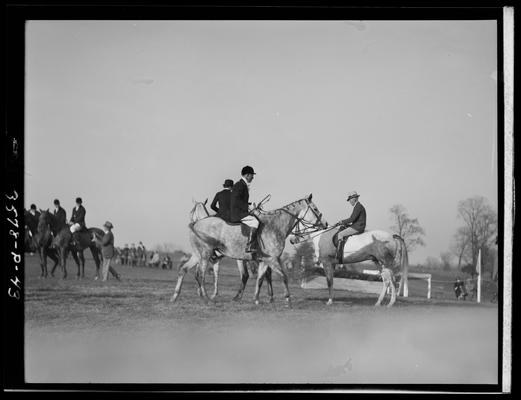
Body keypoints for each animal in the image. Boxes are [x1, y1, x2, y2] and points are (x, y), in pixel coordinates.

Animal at [171, 194, 324, 304]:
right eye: (316, 209)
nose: (324, 224)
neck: (275, 226)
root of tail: (196, 224)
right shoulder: (272, 259)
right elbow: (283, 276)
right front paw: (287, 298)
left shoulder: (264, 260)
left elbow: (260, 278)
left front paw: (256, 299)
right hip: (205, 254)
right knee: (200, 275)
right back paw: (206, 298)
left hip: (198, 255)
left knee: (184, 270)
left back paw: (176, 296)